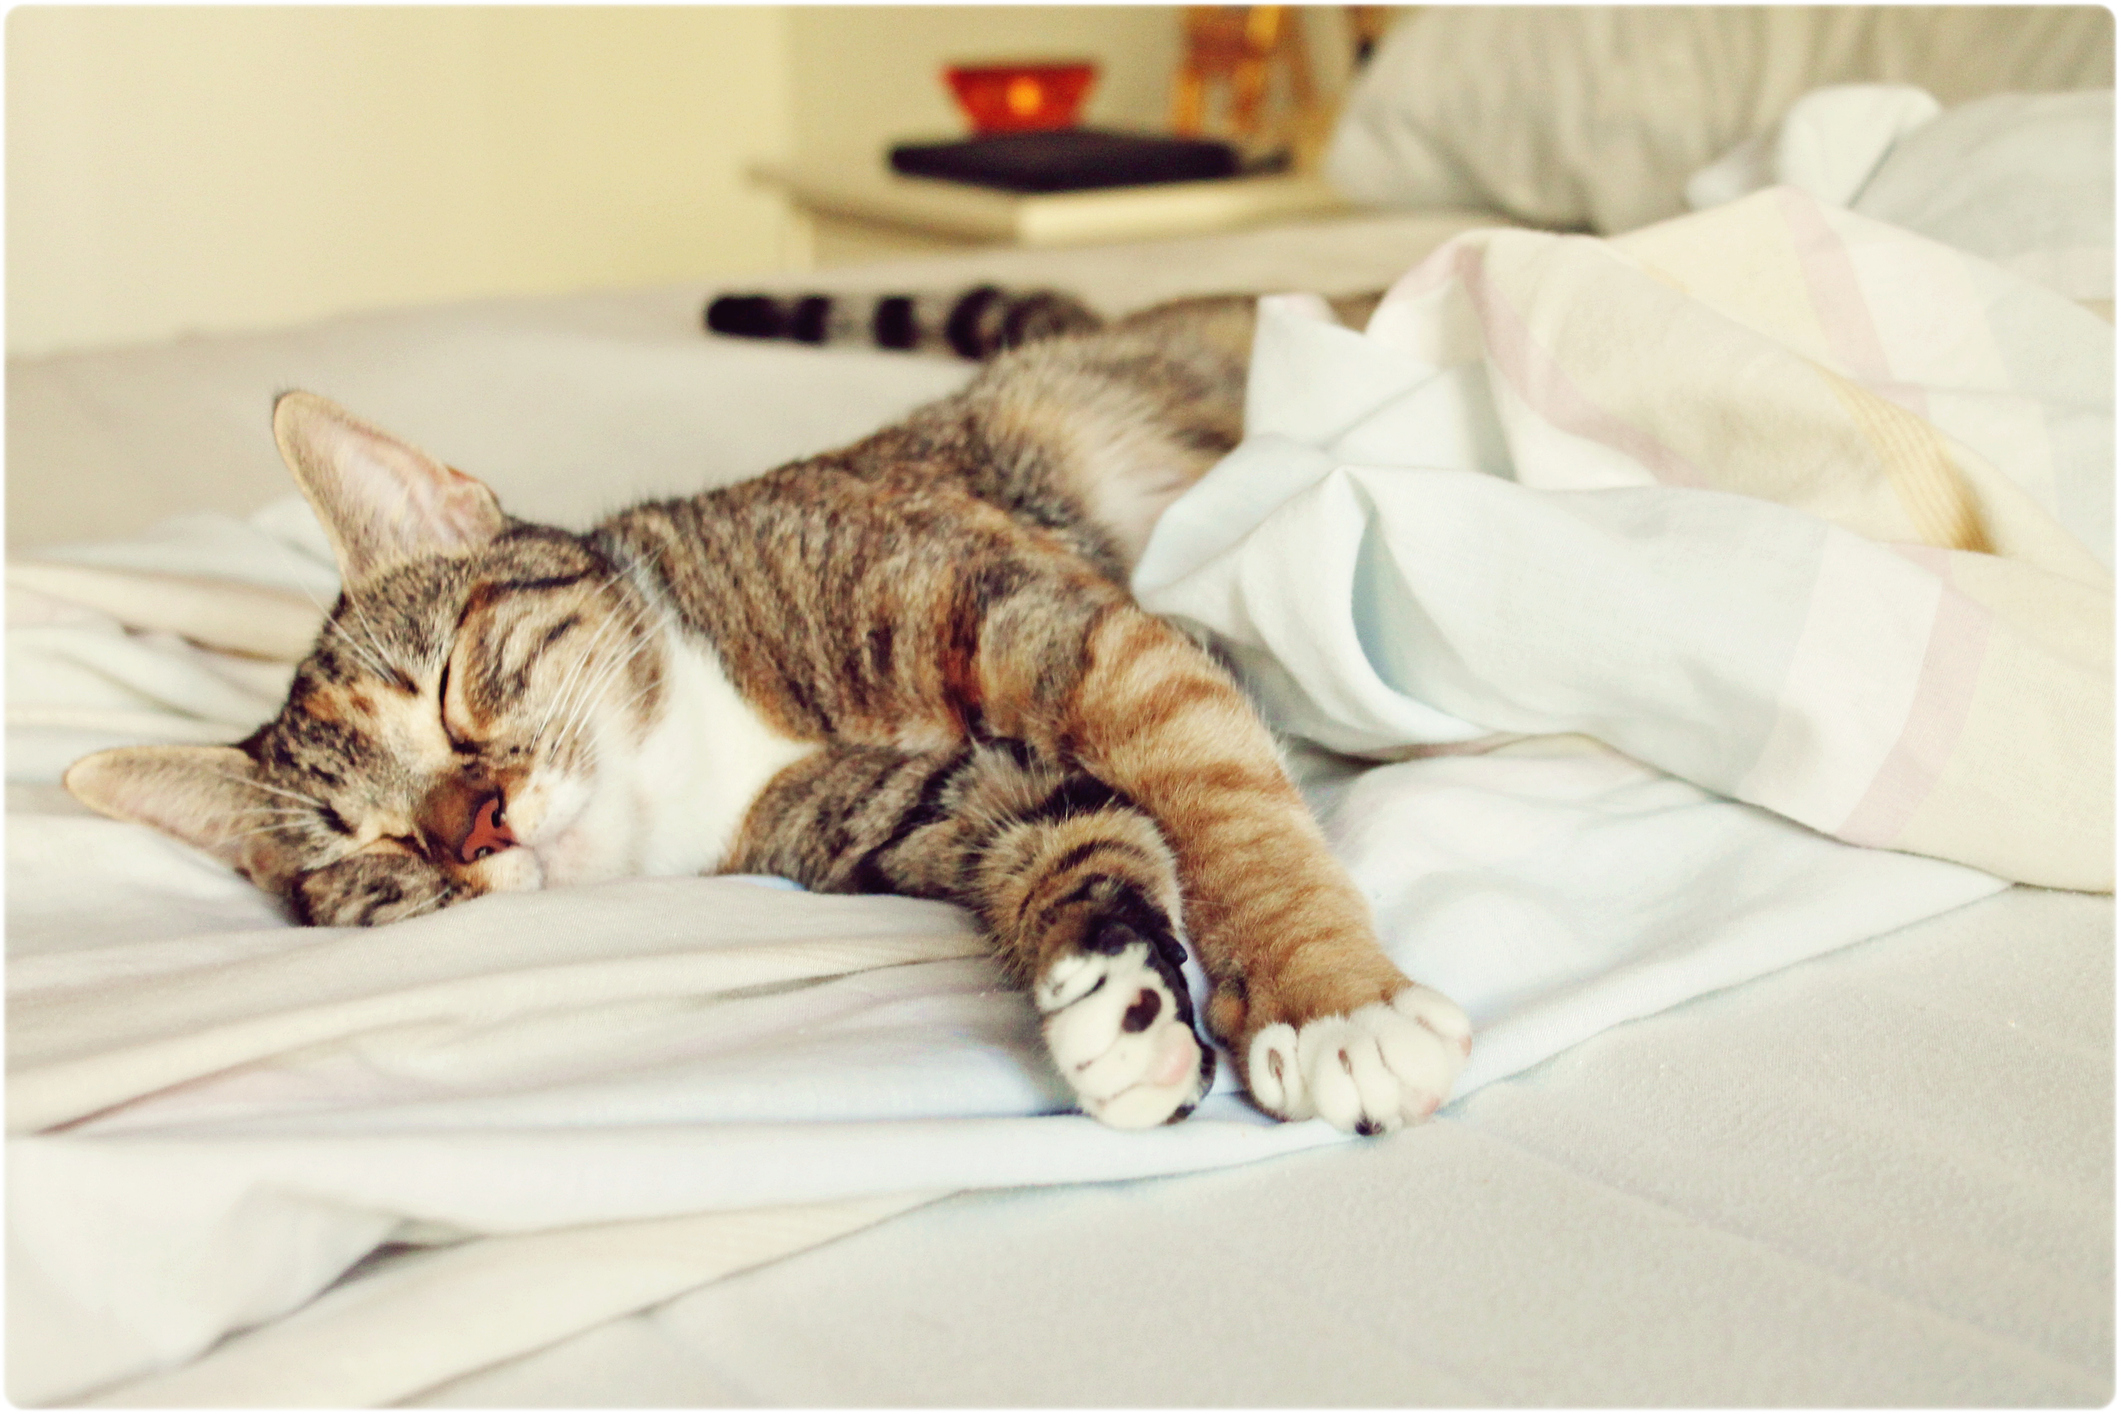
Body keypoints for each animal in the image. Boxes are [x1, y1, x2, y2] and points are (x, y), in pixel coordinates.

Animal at [62, 290, 1459, 1136]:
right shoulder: (920, 807)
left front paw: (1333, 1001)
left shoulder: (1077, 640)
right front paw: (1121, 1007)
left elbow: (1223, 800)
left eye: (452, 691)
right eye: (379, 851)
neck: (701, 724)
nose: (479, 825)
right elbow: (1068, 834)